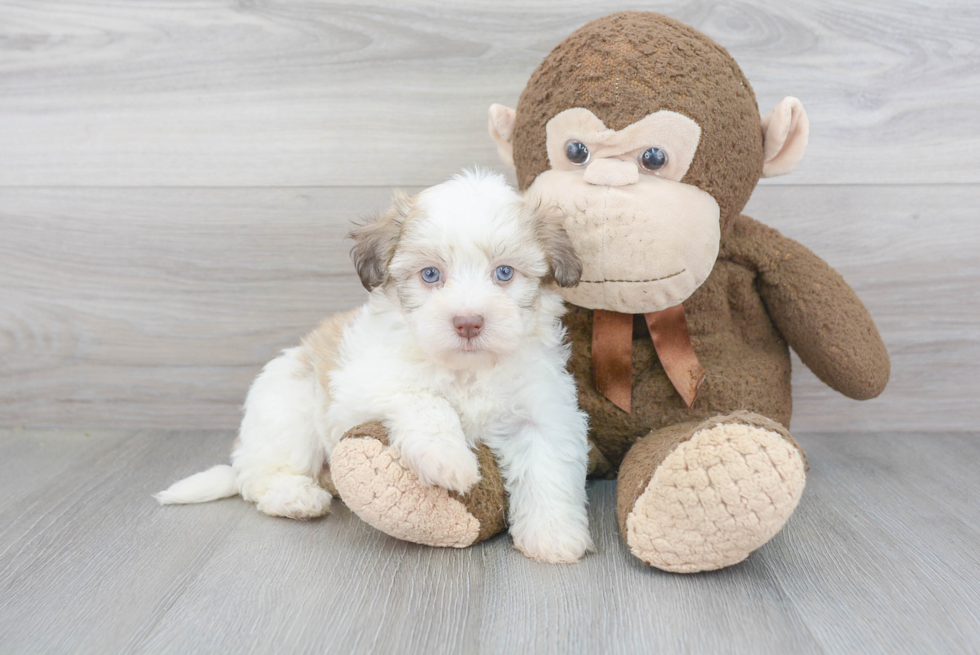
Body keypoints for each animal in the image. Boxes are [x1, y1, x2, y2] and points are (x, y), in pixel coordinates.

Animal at [157, 169, 592, 564]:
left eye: (504, 273)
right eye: (430, 274)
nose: (468, 322)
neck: (465, 369)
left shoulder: (543, 412)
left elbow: (548, 469)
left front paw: (553, 536)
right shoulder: (360, 385)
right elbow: (425, 400)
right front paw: (449, 459)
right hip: (288, 410)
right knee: (261, 475)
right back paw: (295, 497)